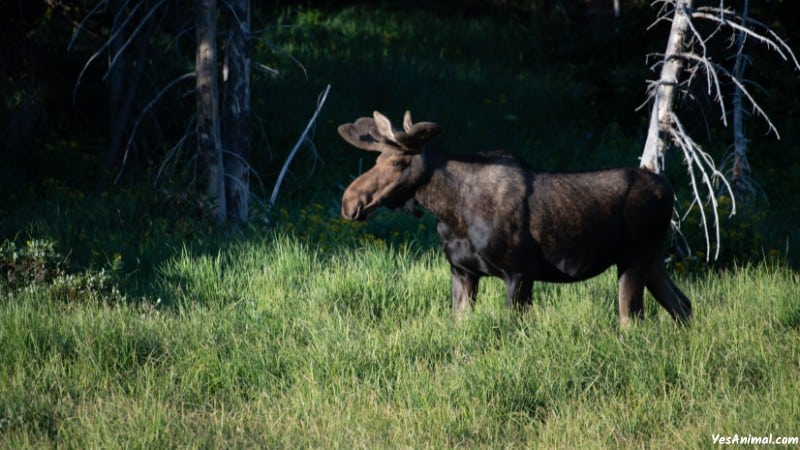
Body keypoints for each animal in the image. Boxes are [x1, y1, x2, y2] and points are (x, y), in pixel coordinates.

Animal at [336, 110, 688, 326]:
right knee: (683, 306)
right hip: (652, 259)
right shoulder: (462, 272)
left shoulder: (519, 272)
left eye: (397, 163)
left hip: (634, 258)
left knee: (632, 319)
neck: (451, 212)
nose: (349, 202)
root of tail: (669, 188)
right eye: (377, 159)